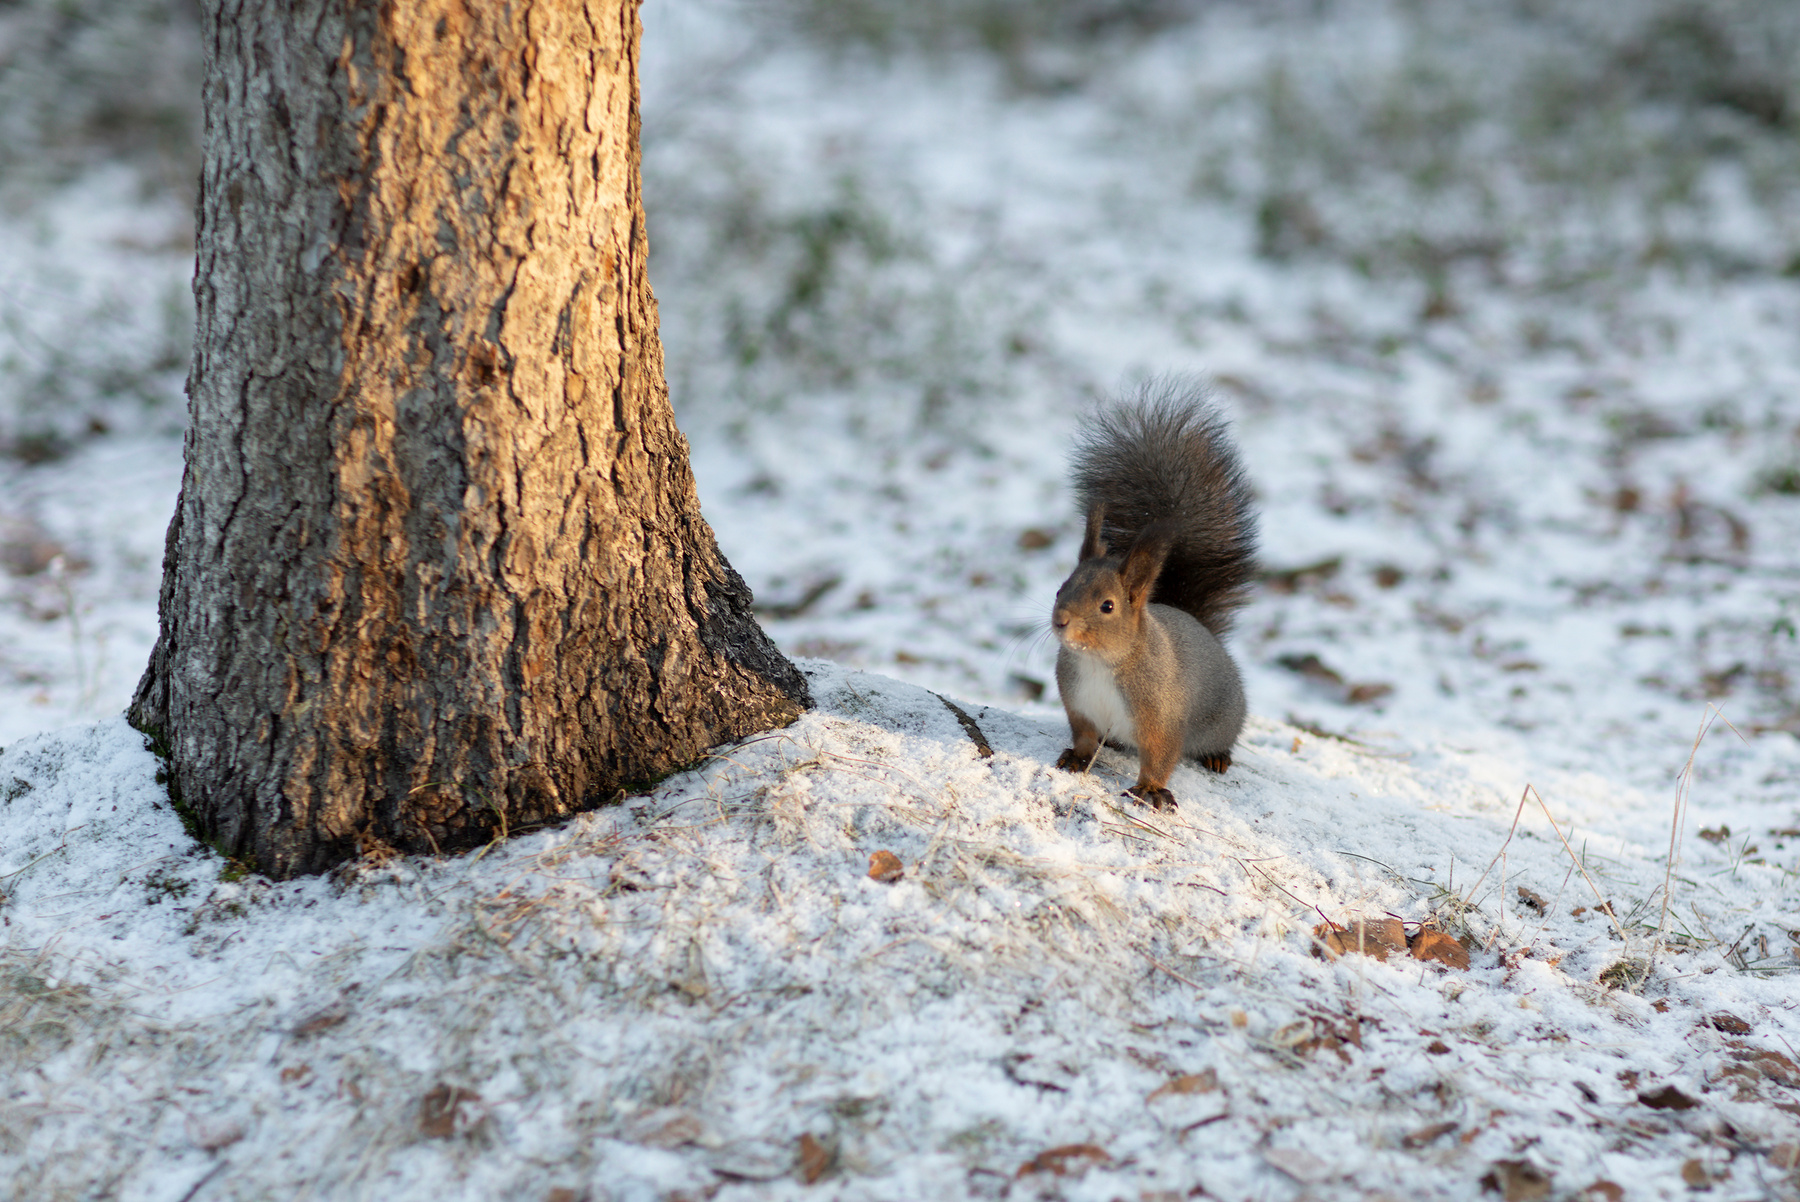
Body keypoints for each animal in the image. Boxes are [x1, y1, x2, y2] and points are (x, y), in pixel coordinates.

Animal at [1050, 380, 1259, 811]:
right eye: (1061, 587)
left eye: (1107, 606)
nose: (1060, 621)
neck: (1099, 662)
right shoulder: (1079, 706)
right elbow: (1083, 737)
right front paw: (1077, 758)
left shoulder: (1162, 718)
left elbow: (1161, 756)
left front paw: (1149, 789)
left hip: (1223, 717)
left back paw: (1217, 756)